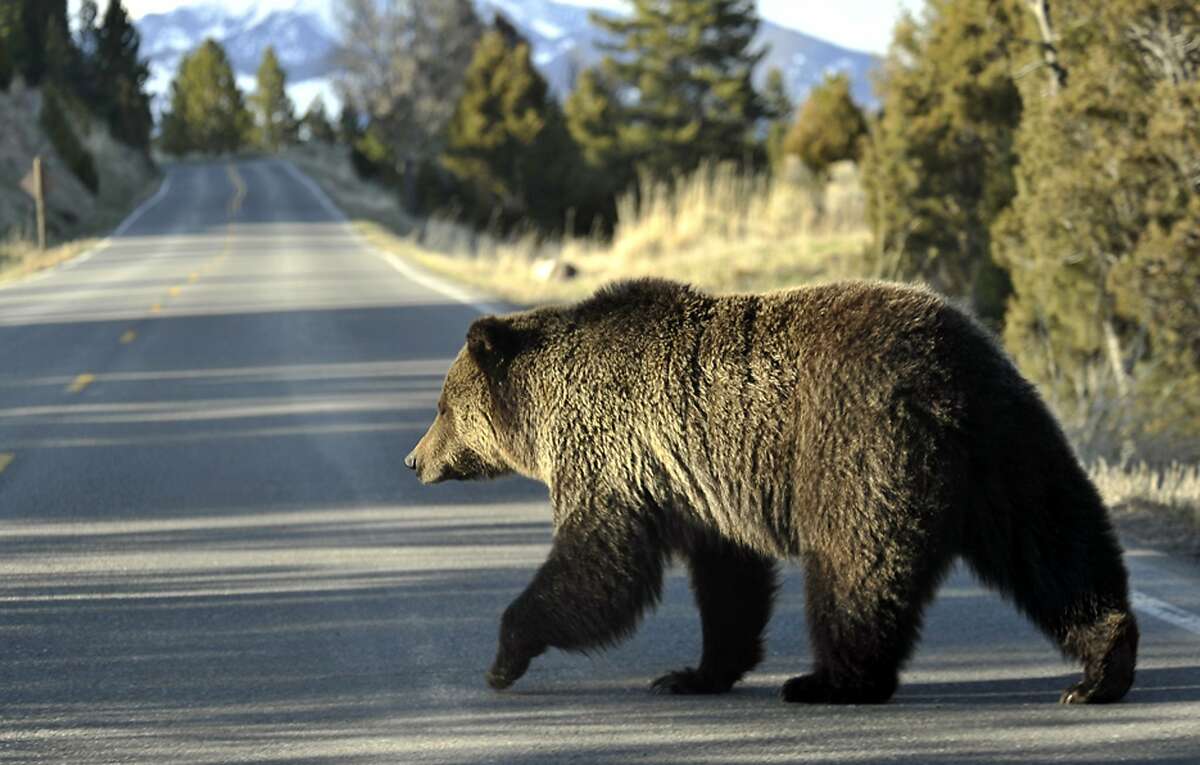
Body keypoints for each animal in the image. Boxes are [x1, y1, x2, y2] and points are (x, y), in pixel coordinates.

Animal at [408, 278, 1137, 705]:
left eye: (443, 407)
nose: (415, 459)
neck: (547, 404)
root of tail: (946, 380)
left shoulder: (614, 452)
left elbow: (600, 562)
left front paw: (505, 655)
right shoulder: (699, 487)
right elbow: (728, 582)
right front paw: (694, 672)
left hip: (857, 444)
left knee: (857, 568)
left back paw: (831, 680)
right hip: (1009, 443)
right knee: (1055, 546)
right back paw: (1102, 665)